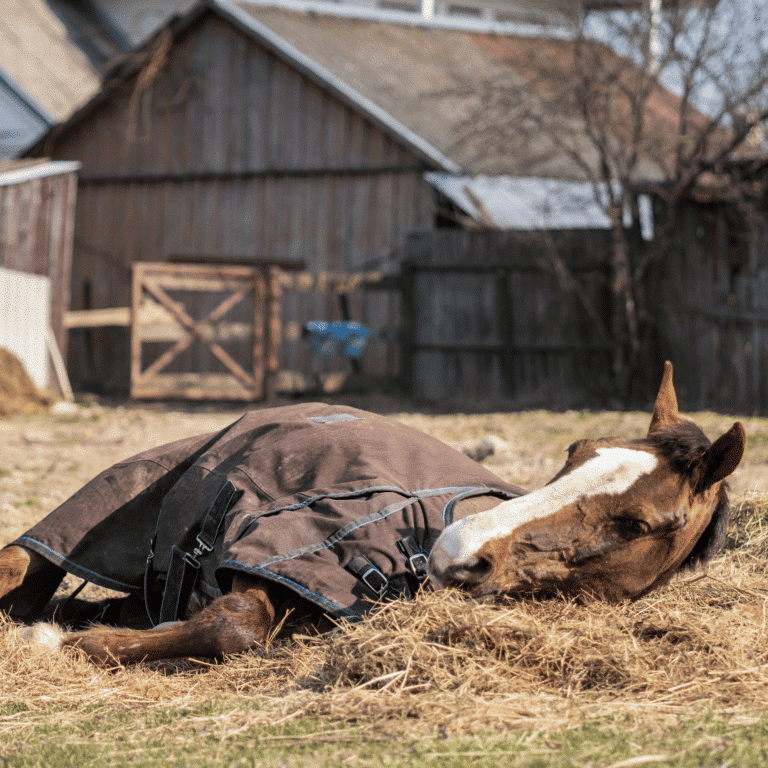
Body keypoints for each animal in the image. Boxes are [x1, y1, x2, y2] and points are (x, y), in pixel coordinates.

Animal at [0, 364, 744, 664]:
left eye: (639, 524)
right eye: (575, 450)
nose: (456, 551)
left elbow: (234, 626)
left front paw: (72, 639)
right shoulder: (271, 550)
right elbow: (235, 622)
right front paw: (63, 644)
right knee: (25, 568)